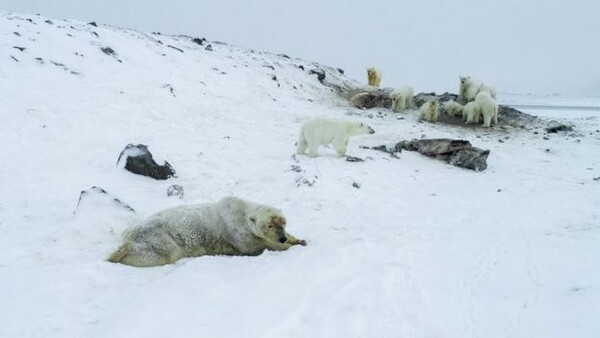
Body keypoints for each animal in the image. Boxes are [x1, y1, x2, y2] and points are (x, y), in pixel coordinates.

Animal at [105, 195, 308, 266]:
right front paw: (286, 246)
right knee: (161, 252)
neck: (241, 211)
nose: (282, 238)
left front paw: (299, 239)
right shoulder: (236, 232)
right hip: (158, 235)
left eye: (283, 222)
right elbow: (255, 246)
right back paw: (117, 253)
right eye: (269, 225)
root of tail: (128, 231)